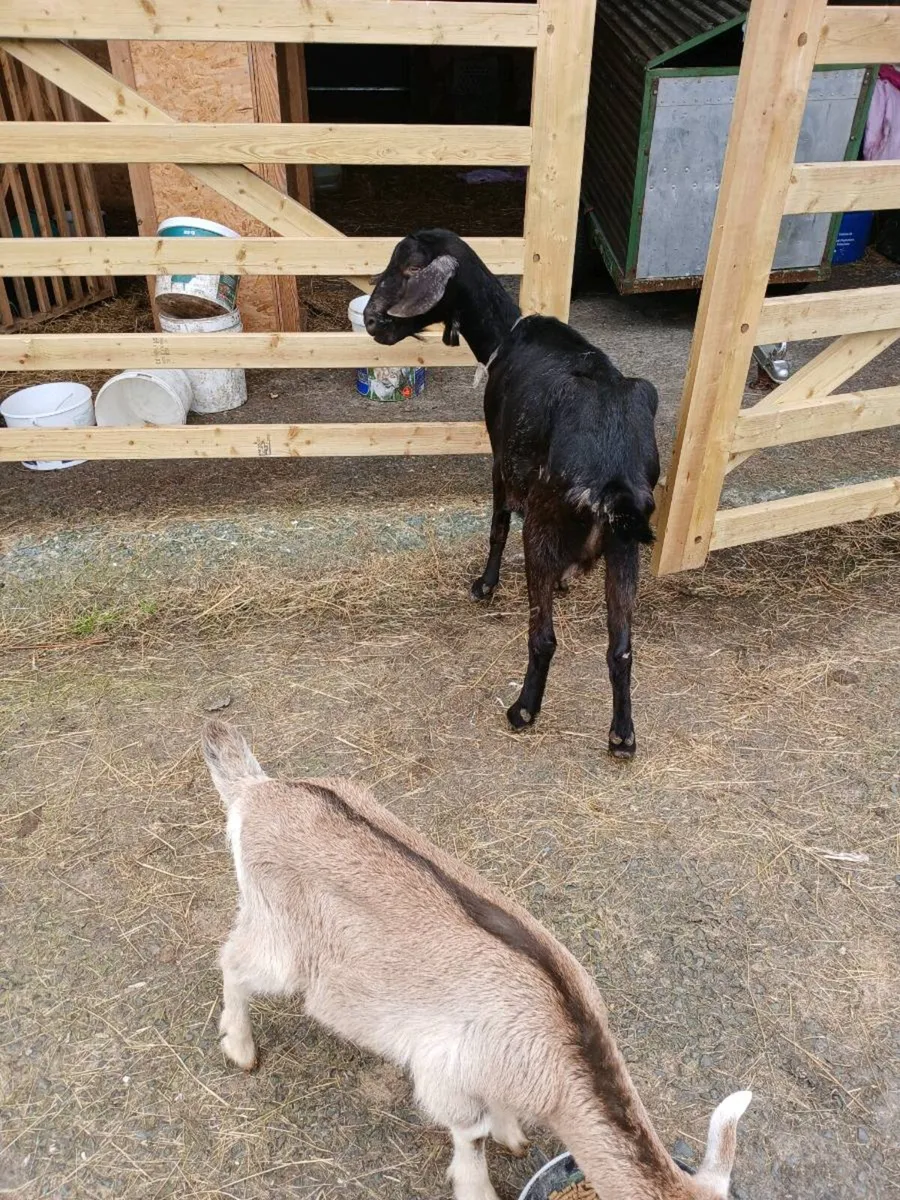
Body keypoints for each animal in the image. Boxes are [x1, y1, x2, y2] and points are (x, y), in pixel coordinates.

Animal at [204, 720, 751, 1200]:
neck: (561, 1043)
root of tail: (255, 790)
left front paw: (515, 1138)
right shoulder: (445, 1074)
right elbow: (472, 1134)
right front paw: (479, 1187)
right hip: (280, 939)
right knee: (232, 960)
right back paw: (240, 1047)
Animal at [364, 230, 660, 758]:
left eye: (409, 268)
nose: (371, 320)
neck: (503, 336)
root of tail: (611, 475)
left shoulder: (501, 457)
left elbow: (498, 525)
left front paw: (484, 585)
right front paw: (563, 582)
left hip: (541, 524)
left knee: (544, 637)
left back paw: (523, 709)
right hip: (625, 545)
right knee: (622, 647)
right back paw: (622, 735)